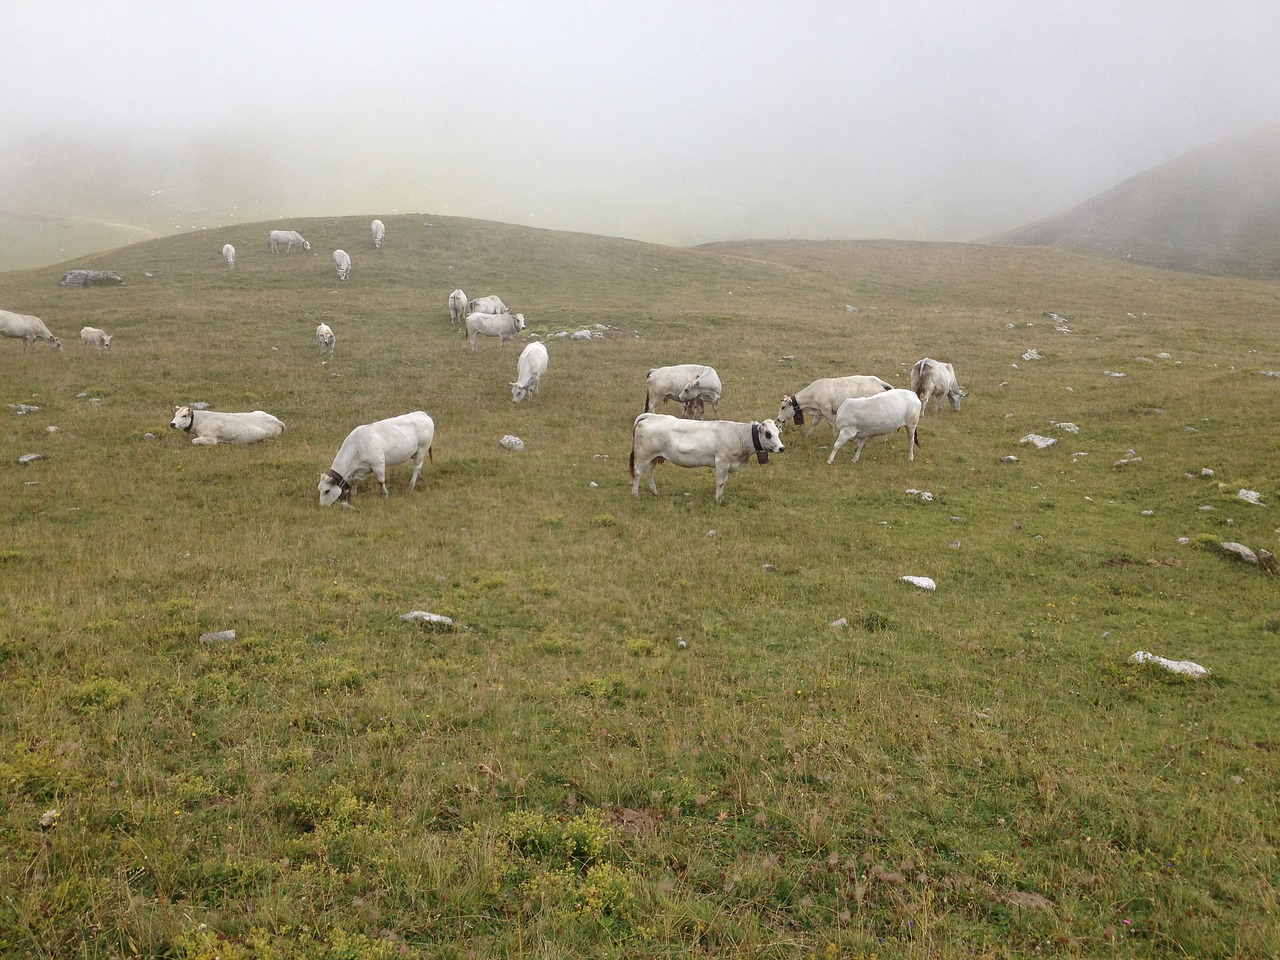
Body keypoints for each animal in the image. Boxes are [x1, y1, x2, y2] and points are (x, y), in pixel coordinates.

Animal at [632, 412, 783, 506]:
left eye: (777, 432)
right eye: (768, 434)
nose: (782, 448)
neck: (739, 435)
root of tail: (651, 416)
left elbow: (724, 482)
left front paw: (721, 498)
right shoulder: (722, 462)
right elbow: (720, 482)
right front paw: (718, 500)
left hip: (654, 457)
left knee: (649, 472)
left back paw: (655, 492)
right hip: (644, 456)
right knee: (638, 473)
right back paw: (635, 495)